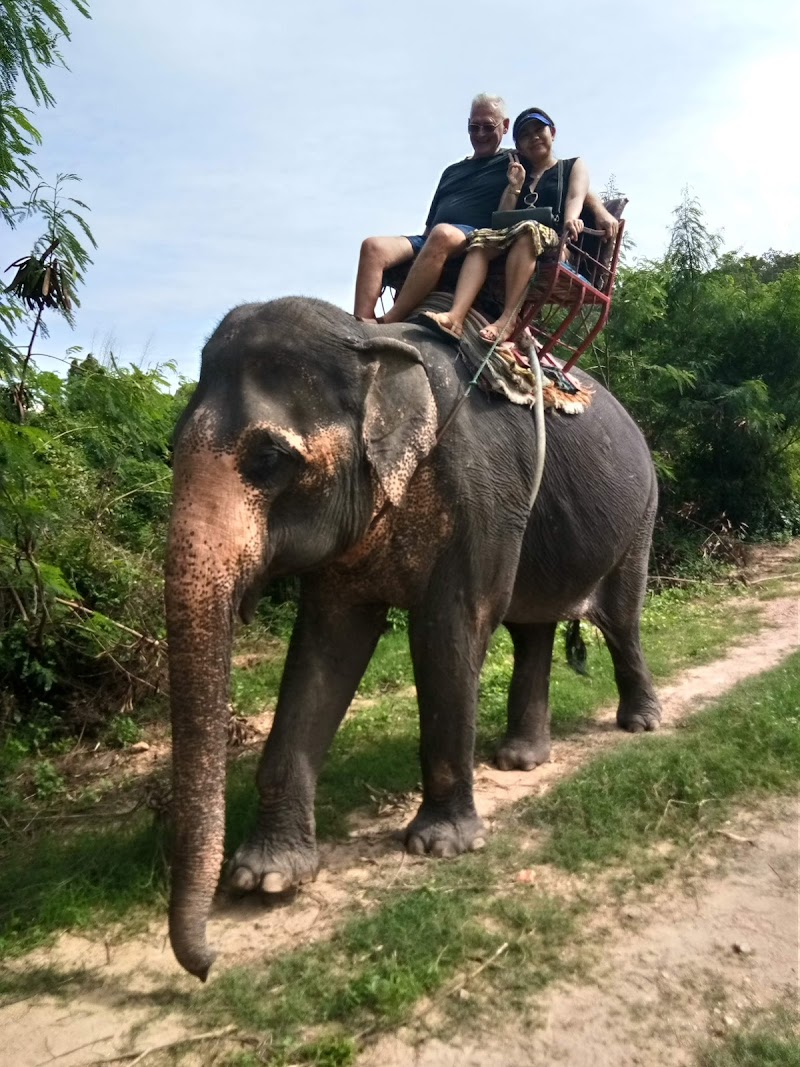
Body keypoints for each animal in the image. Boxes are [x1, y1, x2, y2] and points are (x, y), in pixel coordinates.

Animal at [165, 295, 662, 980]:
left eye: (267, 459)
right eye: (170, 450)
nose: (207, 965)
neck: (370, 346)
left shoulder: (479, 494)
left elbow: (450, 631)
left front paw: (440, 846)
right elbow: (326, 645)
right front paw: (266, 879)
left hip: (641, 515)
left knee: (621, 620)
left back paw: (640, 724)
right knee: (532, 630)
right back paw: (520, 759)